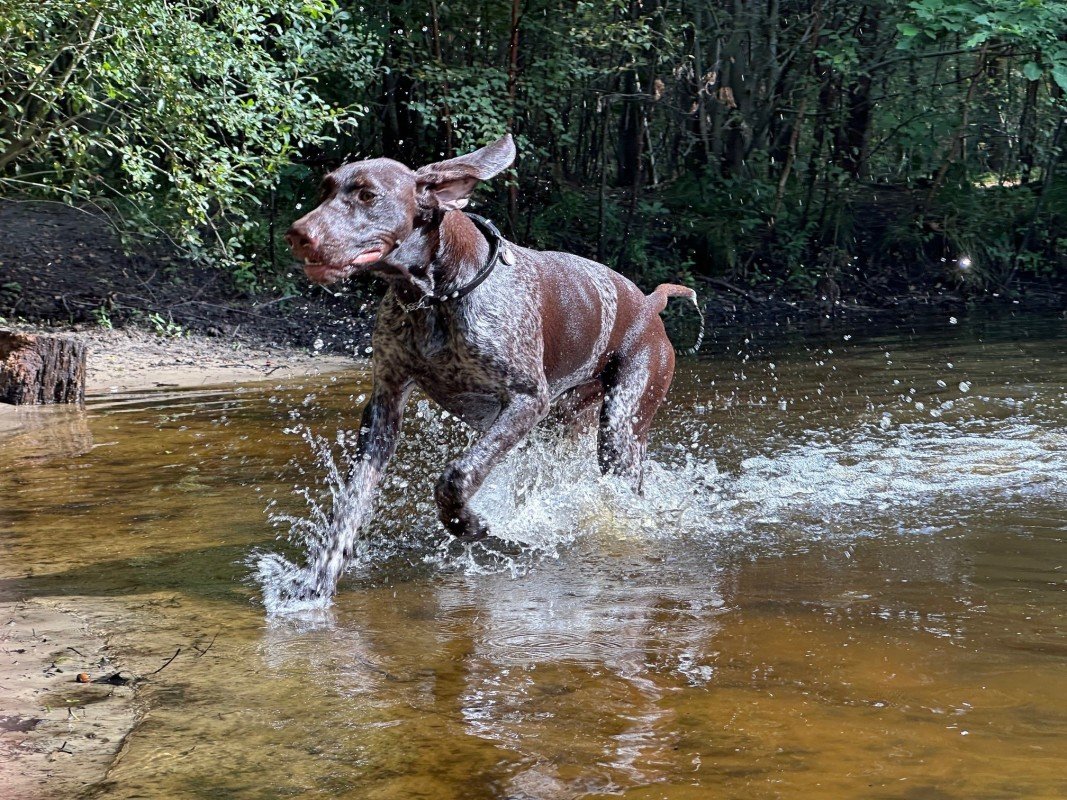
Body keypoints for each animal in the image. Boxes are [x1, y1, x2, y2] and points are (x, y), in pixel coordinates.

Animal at [283, 133, 699, 597]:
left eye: (368, 195)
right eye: (324, 190)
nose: (298, 235)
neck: (437, 297)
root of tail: (649, 303)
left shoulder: (526, 400)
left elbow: (456, 476)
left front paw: (469, 524)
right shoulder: (384, 407)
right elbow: (351, 503)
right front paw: (318, 579)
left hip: (621, 428)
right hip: (566, 425)